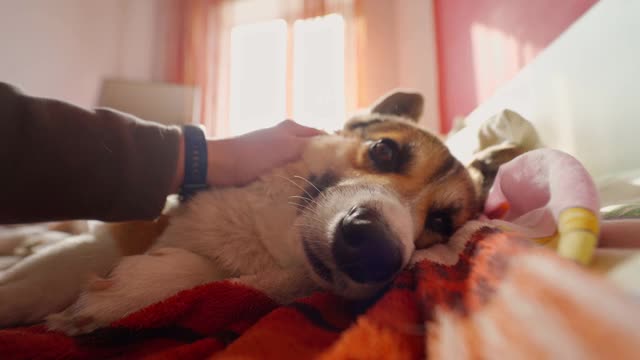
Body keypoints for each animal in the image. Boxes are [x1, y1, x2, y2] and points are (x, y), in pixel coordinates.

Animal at [0, 90, 478, 334]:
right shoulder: (123, 231)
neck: (264, 235)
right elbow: (50, 270)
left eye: (441, 223)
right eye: (384, 150)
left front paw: (131, 291)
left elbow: (211, 274)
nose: (375, 248)